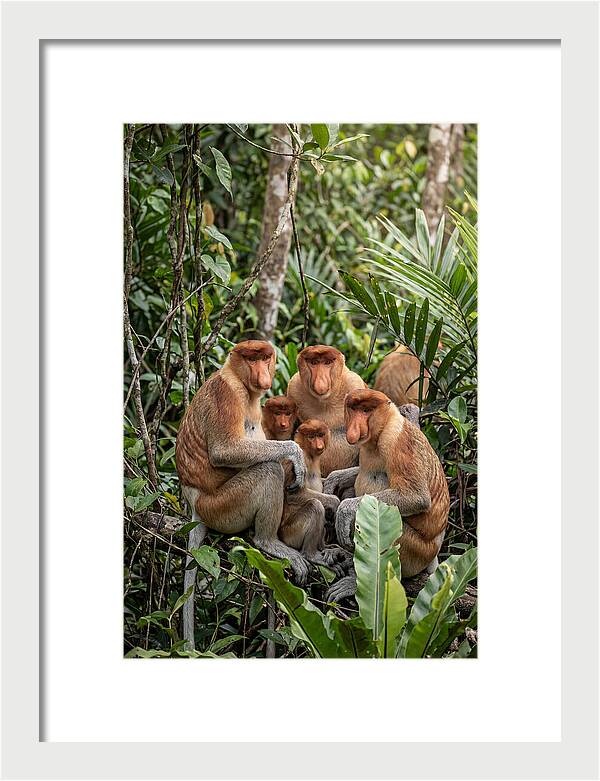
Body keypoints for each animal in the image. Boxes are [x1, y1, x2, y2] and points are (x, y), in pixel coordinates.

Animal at [175, 340, 311, 584]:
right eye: (251, 359)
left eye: (265, 358)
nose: (262, 374)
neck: (237, 378)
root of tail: (194, 501)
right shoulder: (227, 394)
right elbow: (223, 450)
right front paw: (296, 454)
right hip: (221, 508)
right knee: (269, 470)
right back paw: (267, 542)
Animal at [287, 345, 366, 478]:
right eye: (314, 362)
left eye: (327, 362)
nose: (320, 381)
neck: (324, 402)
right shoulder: (293, 388)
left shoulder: (354, 383)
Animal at [324, 389, 449, 603]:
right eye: (353, 409)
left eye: (366, 411)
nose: (354, 429)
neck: (383, 428)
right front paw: (333, 480)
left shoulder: (397, 442)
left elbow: (416, 497)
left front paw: (345, 509)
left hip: (415, 551)